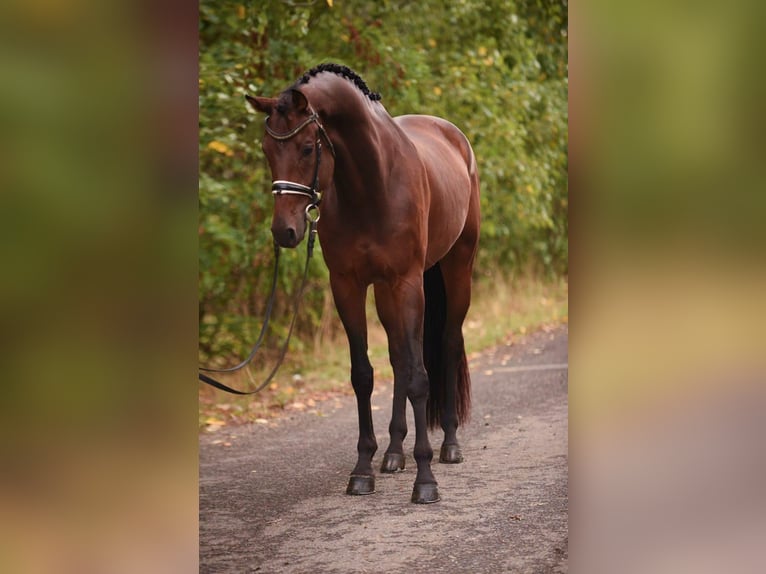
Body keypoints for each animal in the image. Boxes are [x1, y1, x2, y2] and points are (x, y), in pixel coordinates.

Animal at [249, 62, 480, 504]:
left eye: (308, 148)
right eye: (268, 151)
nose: (285, 232)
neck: (373, 184)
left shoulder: (408, 283)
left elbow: (420, 375)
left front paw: (425, 480)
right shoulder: (348, 286)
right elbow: (364, 374)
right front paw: (362, 469)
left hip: (456, 268)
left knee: (446, 344)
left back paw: (449, 446)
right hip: (388, 293)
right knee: (398, 358)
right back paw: (393, 453)